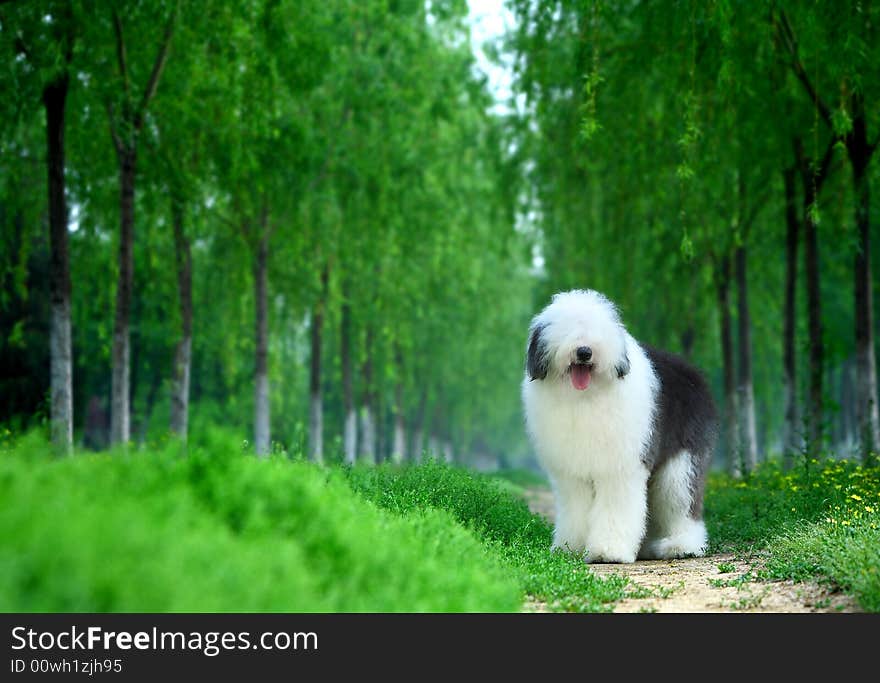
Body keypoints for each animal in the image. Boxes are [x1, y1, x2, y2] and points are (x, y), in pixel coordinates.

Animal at [520, 292, 720, 564]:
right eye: (565, 329)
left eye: (598, 330)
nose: (584, 351)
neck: (584, 398)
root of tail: (694, 373)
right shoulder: (572, 474)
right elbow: (576, 509)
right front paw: (572, 547)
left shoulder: (620, 467)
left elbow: (616, 507)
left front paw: (607, 551)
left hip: (682, 462)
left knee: (681, 502)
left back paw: (681, 545)